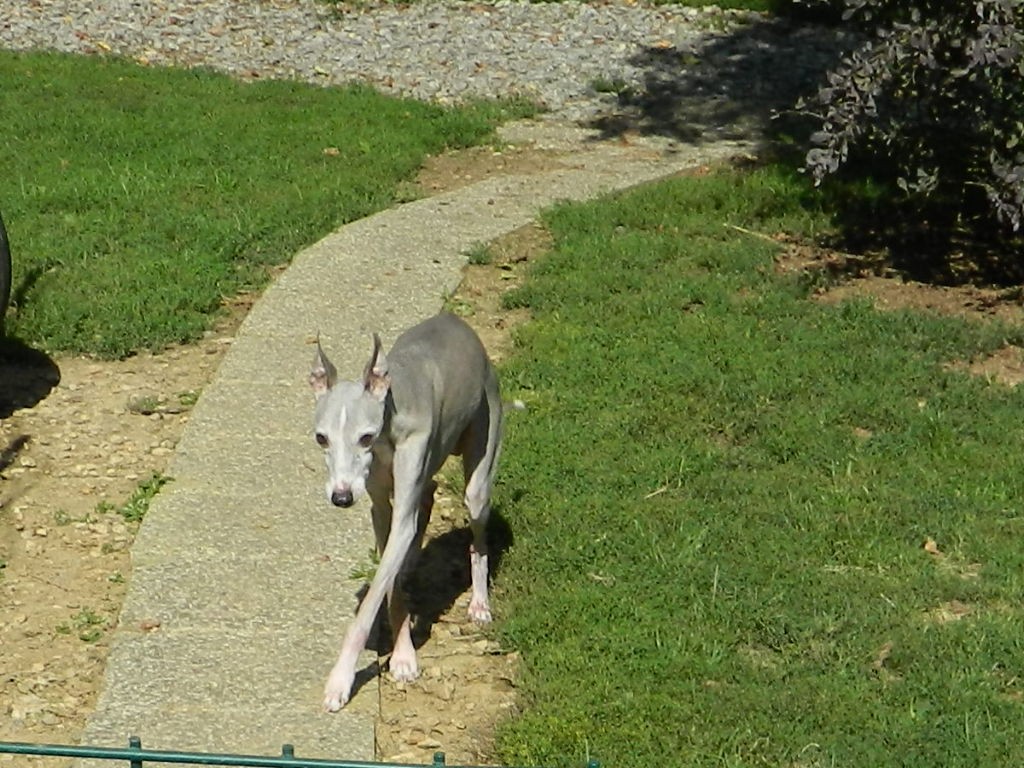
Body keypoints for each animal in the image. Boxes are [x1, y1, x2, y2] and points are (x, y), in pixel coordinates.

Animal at [309, 313, 505, 716]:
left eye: (365, 437)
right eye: (322, 438)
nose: (341, 497)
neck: (391, 415)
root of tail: (454, 321)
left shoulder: (399, 510)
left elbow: (370, 605)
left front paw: (340, 680)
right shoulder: (380, 508)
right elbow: (390, 582)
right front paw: (402, 655)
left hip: (481, 465)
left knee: (477, 534)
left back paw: (479, 603)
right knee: (426, 497)